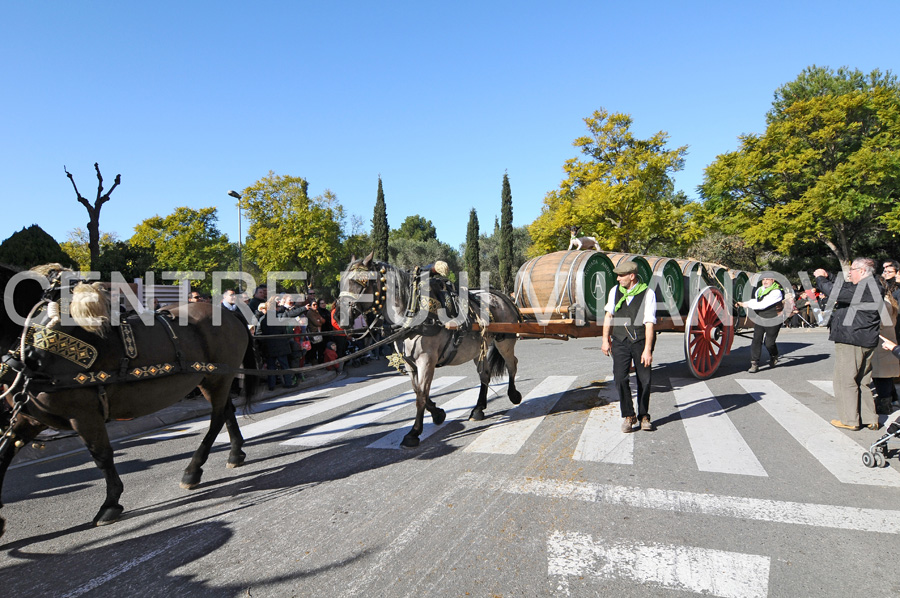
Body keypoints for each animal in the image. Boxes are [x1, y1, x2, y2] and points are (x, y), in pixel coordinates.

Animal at [0, 266, 258, 540]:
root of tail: (228, 314)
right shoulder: (28, 419)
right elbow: (4, 453)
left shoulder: (84, 415)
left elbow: (102, 455)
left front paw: (110, 504)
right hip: (215, 379)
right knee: (227, 411)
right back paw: (235, 453)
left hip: (217, 378)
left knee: (217, 418)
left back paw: (193, 470)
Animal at [336, 254, 520, 450]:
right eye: (342, 281)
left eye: (359, 281)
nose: (338, 316)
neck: (411, 312)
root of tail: (501, 296)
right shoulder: (410, 363)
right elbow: (418, 392)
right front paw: (437, 413)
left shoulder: (426, 361)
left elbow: (421, 396)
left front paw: (414, 432)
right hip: (479, 348)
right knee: (484, 374)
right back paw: (478, 409)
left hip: (505, 342)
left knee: (512, 365)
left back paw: (514, 395)